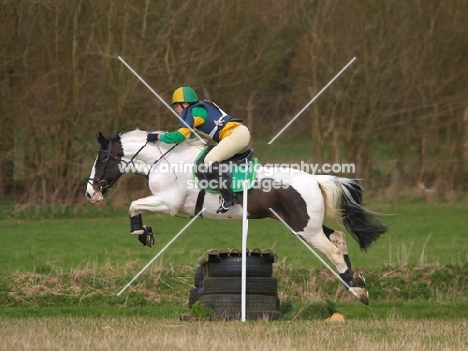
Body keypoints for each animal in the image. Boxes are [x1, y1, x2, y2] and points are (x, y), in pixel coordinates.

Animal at [86, 129, 386, 306]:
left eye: (100, 160)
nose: (90, 193)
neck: (165, 161)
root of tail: (314, 179)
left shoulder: (169, 203)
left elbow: (133, 205)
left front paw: (143, 234)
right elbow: (135, 206)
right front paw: (145, 233)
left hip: (305, 230)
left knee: (333, 251)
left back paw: (356, 290)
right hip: (305, 225)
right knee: (339, 238)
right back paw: (357, 280)